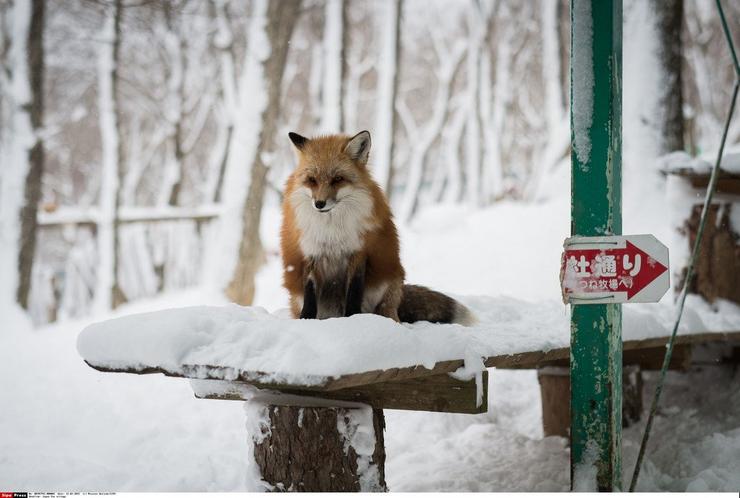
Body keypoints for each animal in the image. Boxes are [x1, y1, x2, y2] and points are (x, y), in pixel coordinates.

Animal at [280, 130, 476, 324]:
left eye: (338, 179)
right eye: (311, 180)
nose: (319, 204)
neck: (332, 229)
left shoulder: (359, 252)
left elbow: (354, 292)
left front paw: (354, 318)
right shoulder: (310, 253)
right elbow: (310, 295)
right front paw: (305, 321)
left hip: (388, 284)